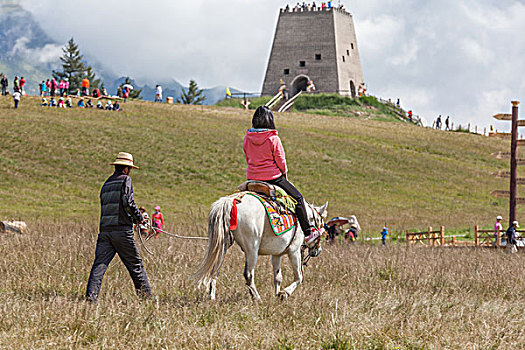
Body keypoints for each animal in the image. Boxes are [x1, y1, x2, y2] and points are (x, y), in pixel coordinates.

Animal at [190, 194, 326, 300]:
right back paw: (257, 298)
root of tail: (232, 200)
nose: (318, 250)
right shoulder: (294, 251)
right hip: (252, 250)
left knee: (215, 270)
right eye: (322, 224)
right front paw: (284, 293)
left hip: (222, 245)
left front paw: (277, 295)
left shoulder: (276, 254)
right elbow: (299, 277)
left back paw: (212, 297)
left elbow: (278, 277)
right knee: (248, 274)